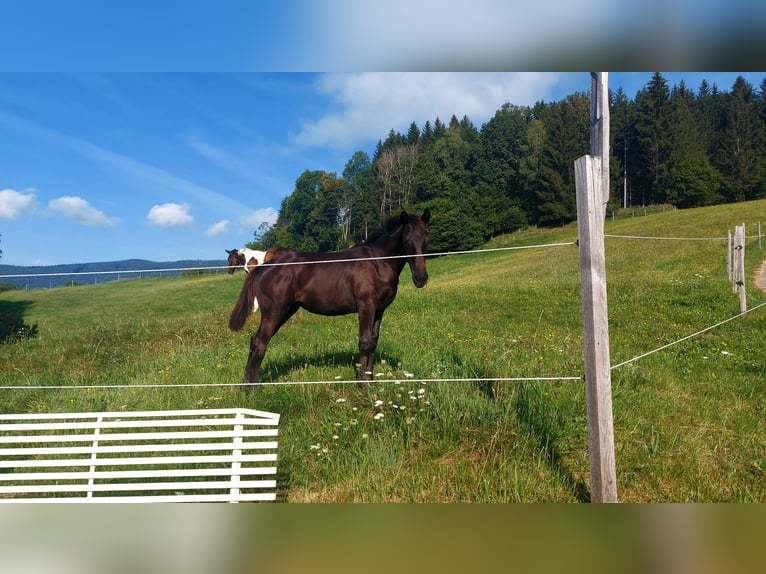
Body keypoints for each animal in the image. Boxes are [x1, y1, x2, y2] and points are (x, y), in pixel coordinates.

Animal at [228, 210, 432, 392]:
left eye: (427, 240)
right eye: (406, 241)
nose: (421, 278)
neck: (377, 262)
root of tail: (264, 267)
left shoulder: (379, 309)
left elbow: (373, 342)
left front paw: (370, 382)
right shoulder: (366, 306)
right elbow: (365, 341)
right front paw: (361, 385)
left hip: (286, 310)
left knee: (255, 341)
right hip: (274, 313)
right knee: (259, 342)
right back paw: (251, 389)